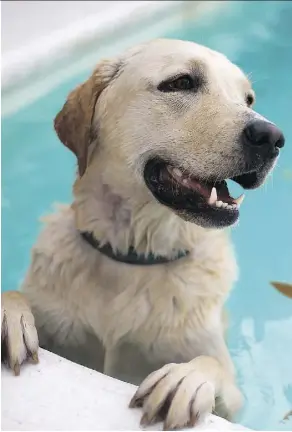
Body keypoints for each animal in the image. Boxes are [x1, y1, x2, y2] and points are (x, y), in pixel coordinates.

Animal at [1, 39, 286, 428]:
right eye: (181, 82)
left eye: (248, 99)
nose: (272, 137)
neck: (134, 256)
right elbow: (13, 294)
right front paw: (10, 315)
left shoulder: (233, 397)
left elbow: (211, 364)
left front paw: (187, 378)